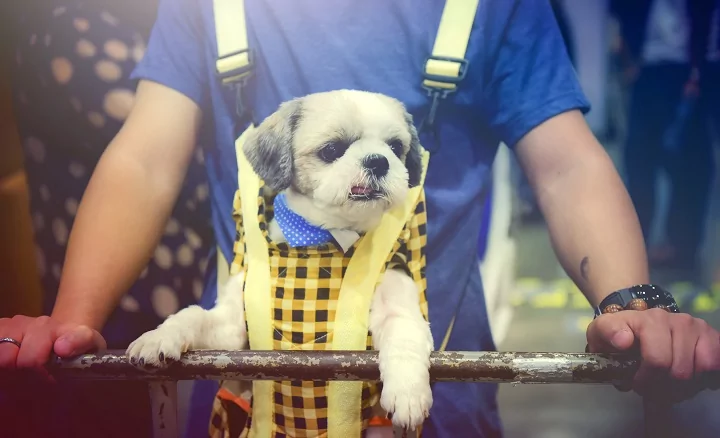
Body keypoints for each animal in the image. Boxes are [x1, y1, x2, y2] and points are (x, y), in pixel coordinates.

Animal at [126, 90, 434, 434]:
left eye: (396, 147)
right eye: (332, 150)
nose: (378, 160)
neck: (320, 239)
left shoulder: (396, 294)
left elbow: (403, 333)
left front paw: (408, 392)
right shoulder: (234, 333)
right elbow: (193, 316)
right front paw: (159, 336)